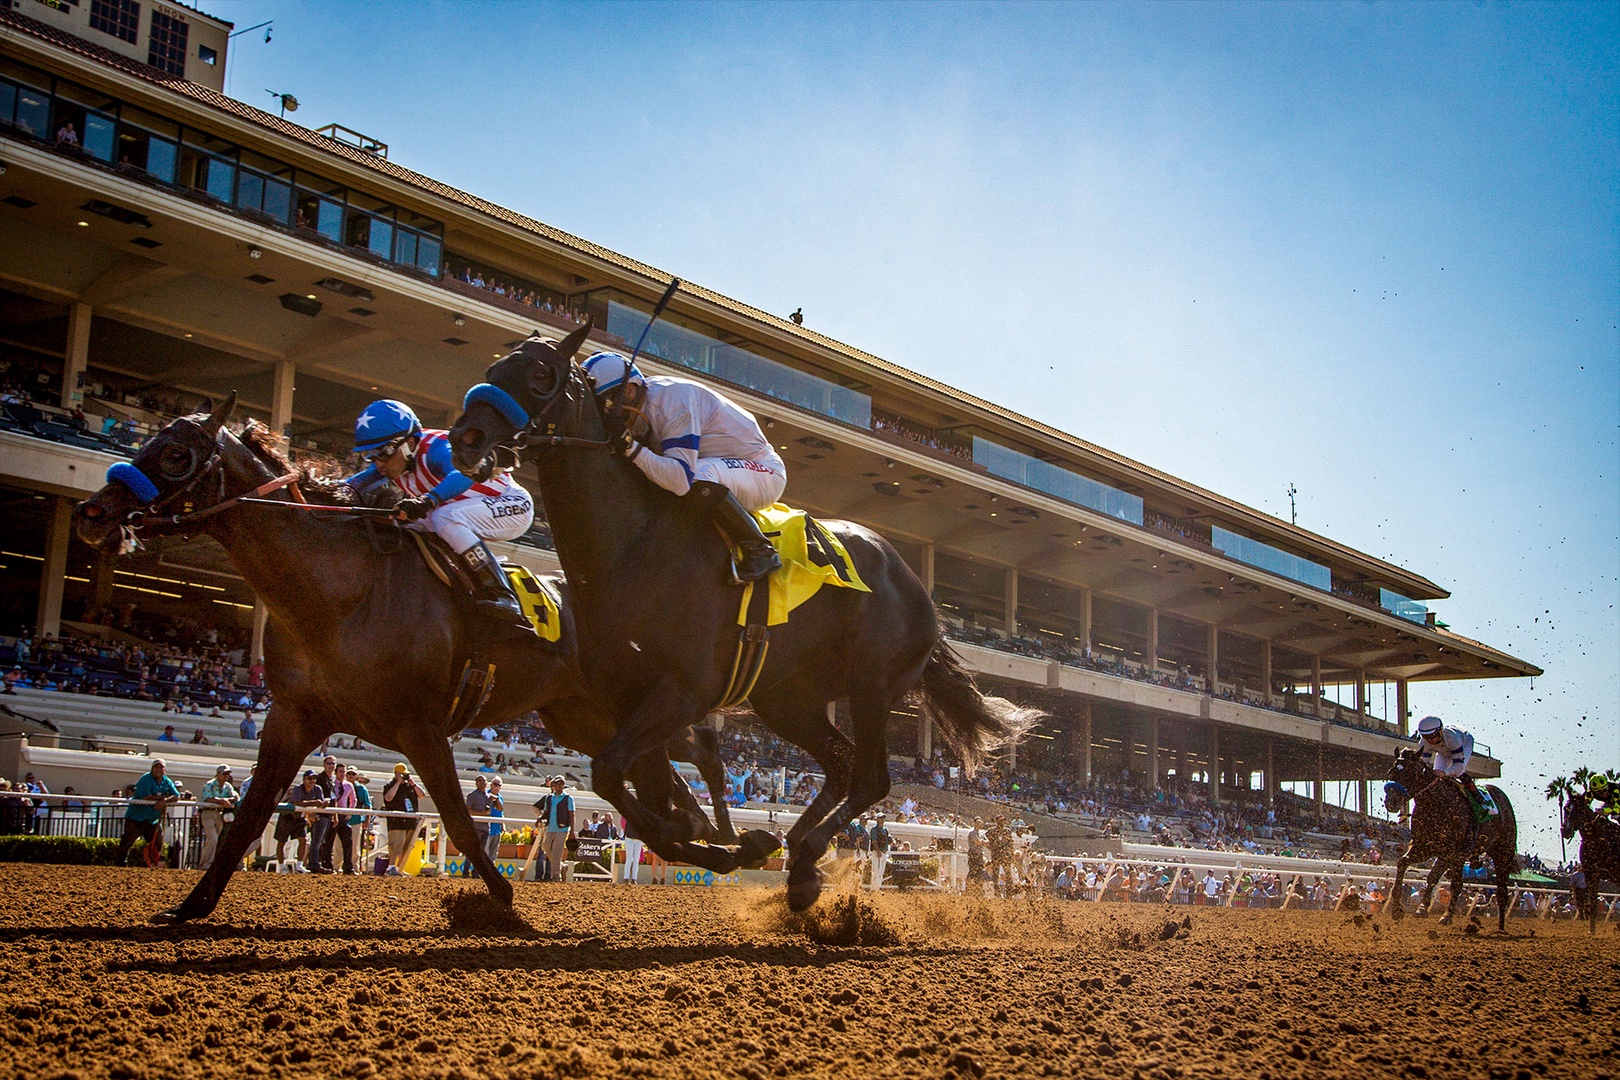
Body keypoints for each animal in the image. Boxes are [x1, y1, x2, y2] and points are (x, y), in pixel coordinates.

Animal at [72, 401, 735, 926]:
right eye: (148, 441)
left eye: (176, 454)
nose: (92, 514)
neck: (339, 589)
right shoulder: (294, 716)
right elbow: (248, 815)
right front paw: (189, 907)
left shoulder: (421, 725)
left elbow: (463, 822)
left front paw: (502, 902)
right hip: (579, 718)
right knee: (663, 772)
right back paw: (711, 838)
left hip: (628, 702)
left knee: (691, 750)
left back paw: (718, 832)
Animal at [447, 323, 1036, 913]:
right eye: (497, 366)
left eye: (540, 373)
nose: (466, 440)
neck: (631, 544)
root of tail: (917, 587)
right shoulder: (621, 699)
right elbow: (641, 786)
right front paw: (727, 842)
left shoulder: (681, 691)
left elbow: (618, 774)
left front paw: (720, 842)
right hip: (786, 699)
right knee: (841, 764)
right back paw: (795, 853)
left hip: (871, 684)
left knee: (871, 778)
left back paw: (802, 853)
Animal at [1380, 748, 1516, 932]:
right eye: (1391, 772)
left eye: (1408, 772)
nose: (1391, 802)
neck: (1437, 804)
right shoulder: (1424, 848)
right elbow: (1402, 862)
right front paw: (1396, 908)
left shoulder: (1448, 852)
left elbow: (1432, 876)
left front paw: (1422, 908)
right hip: (1461, 858)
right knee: (1458, 885)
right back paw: (1447, 916)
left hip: (1503, 853)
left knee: (1502, 890)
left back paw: (1501, 926)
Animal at [1555, 799, 1620, 932]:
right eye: (1565, 808)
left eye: (1578, 810)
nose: (1565, 829)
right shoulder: (1591, 874)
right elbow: (1591, 905)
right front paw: (1591, 931)